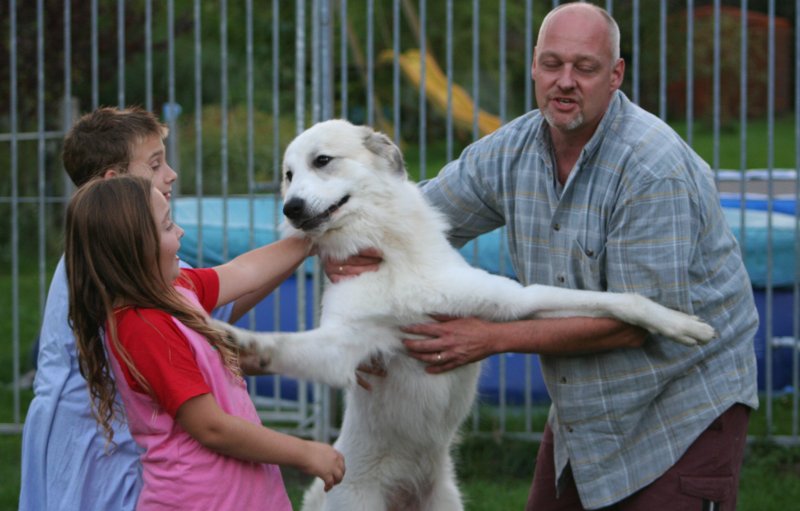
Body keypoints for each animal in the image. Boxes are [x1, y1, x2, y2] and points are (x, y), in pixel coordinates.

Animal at [222, 121, 716, 511]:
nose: (290, 208)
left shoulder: (518, 301)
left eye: (322, 161)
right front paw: (241, 342)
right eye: (288, 175)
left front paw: (683, 325)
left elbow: (621, 300)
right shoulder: (345, 347)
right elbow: (285, 344)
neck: (391, 257)